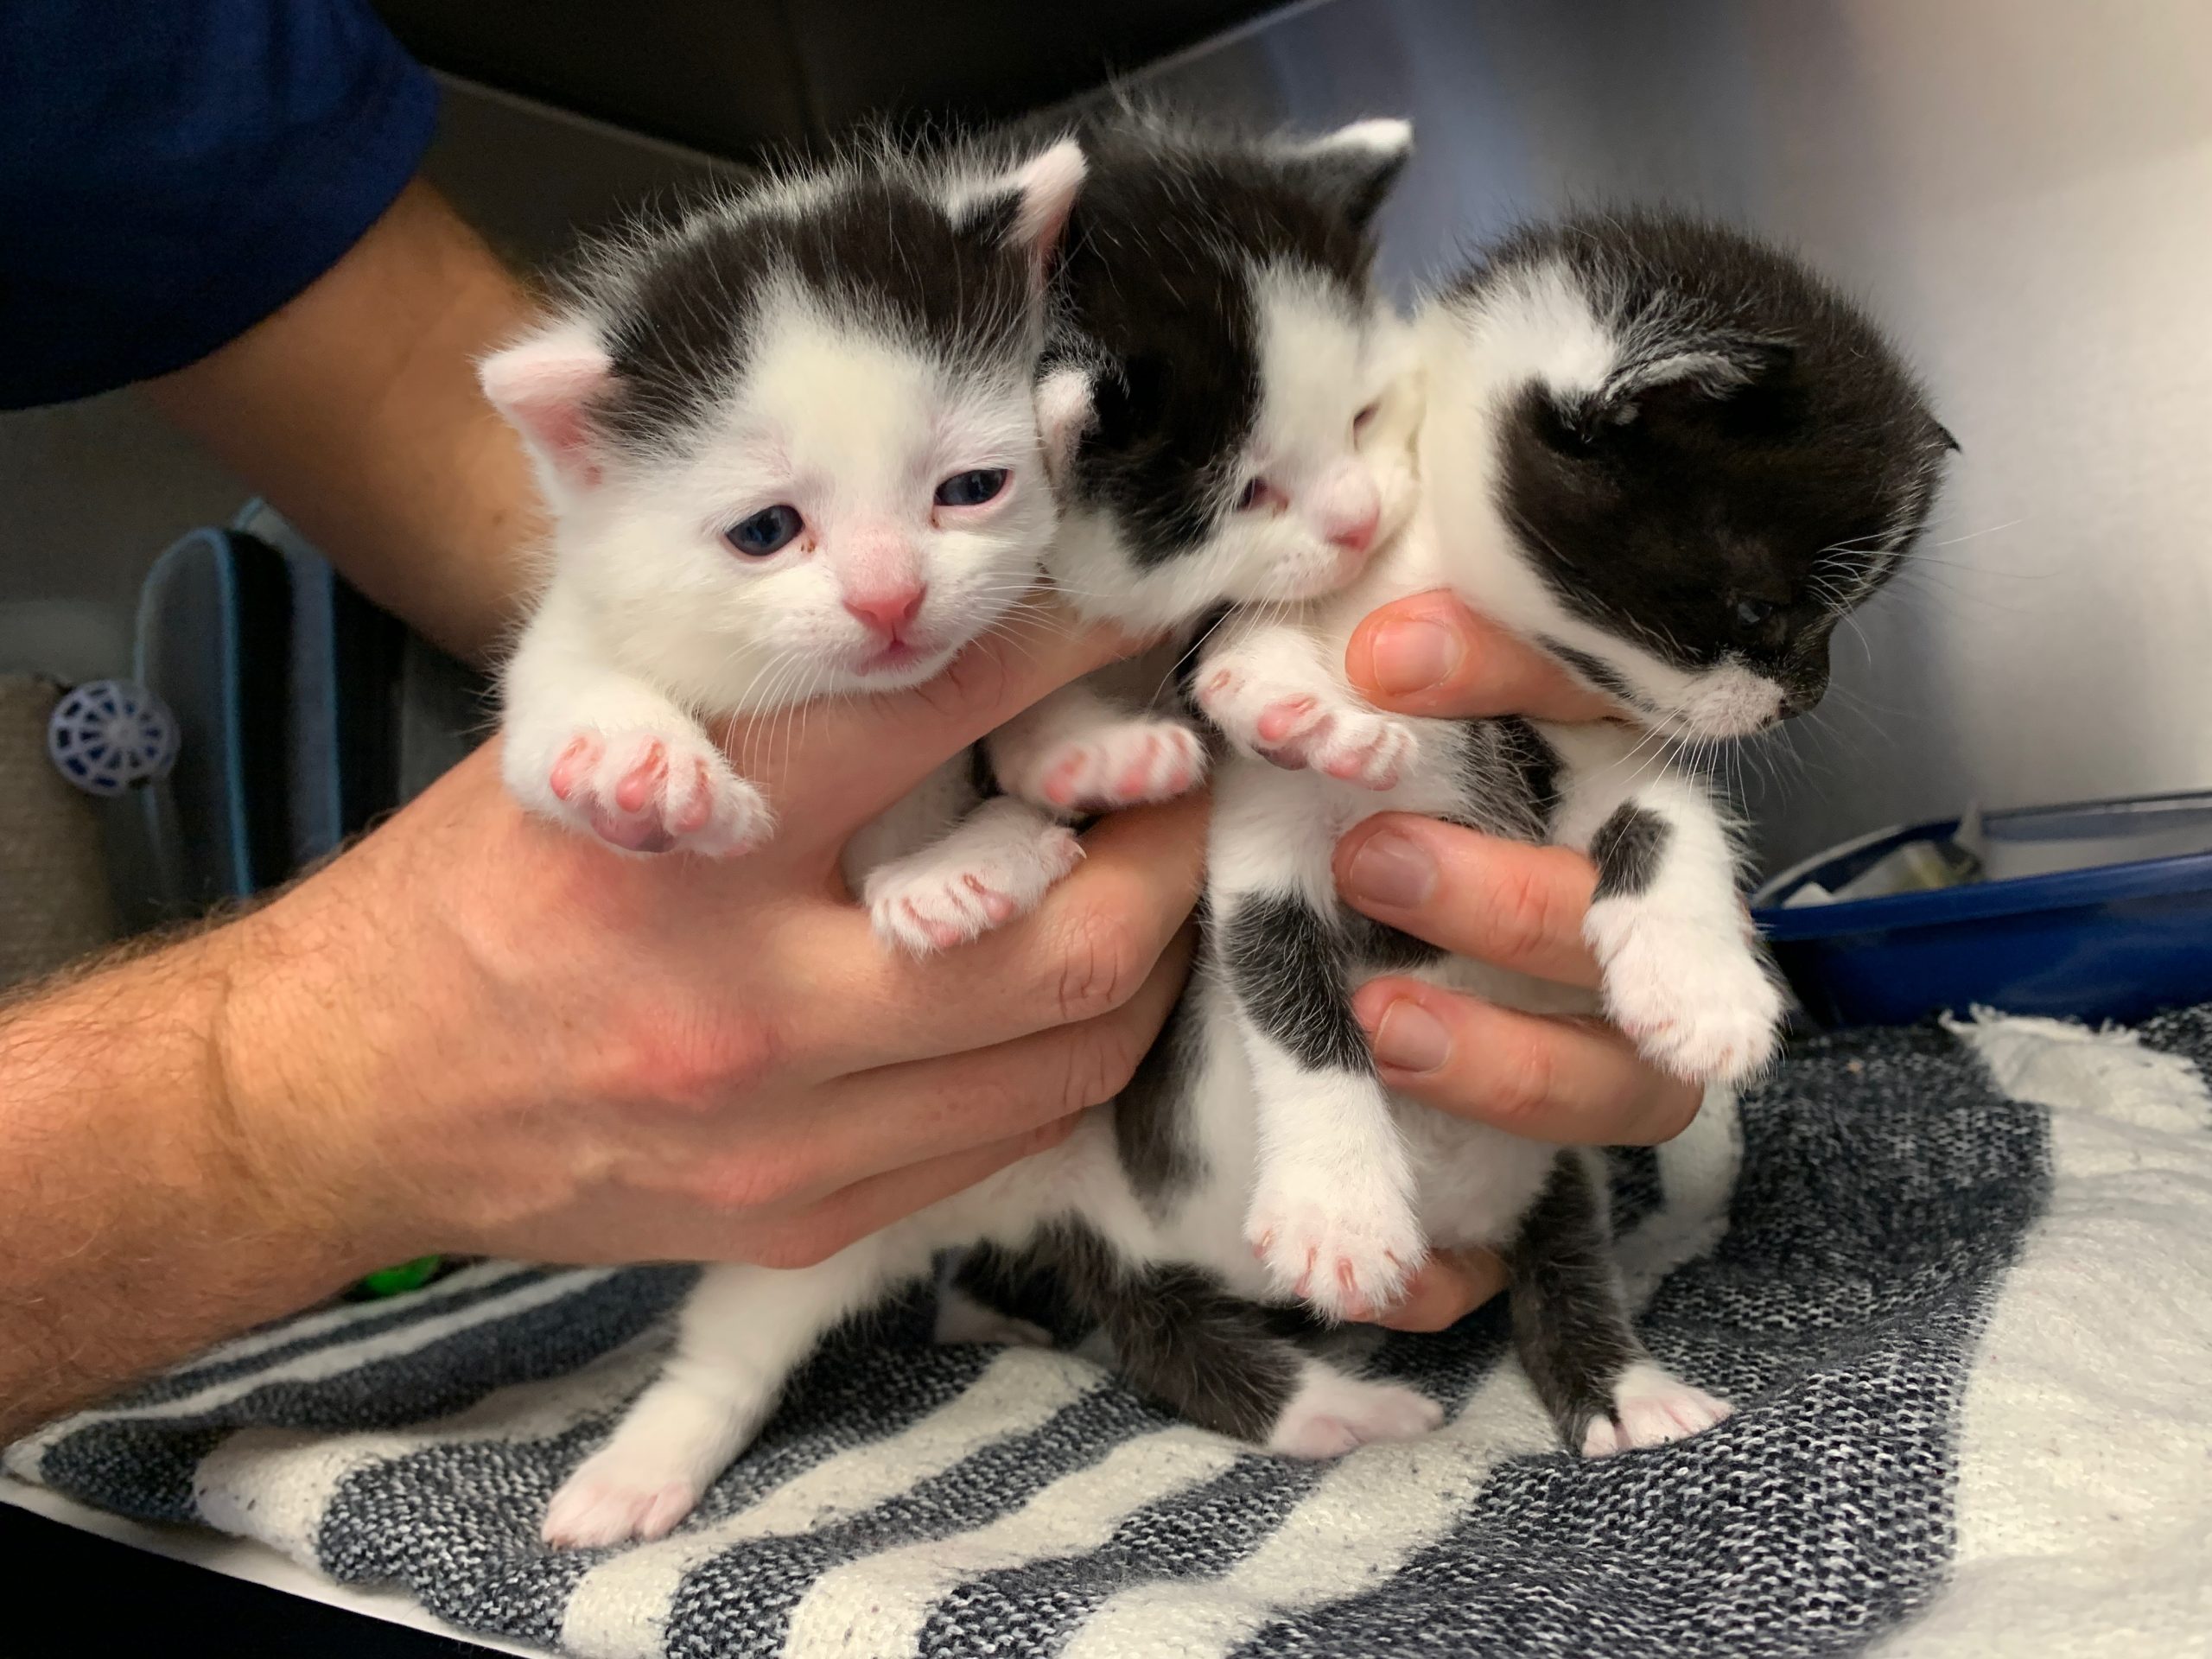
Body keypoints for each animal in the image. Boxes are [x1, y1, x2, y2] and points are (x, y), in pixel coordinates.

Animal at [495, 138, 1096, 862]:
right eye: (765, 530)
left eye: (973, 488)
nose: (889, 599)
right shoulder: (586, 606)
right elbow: (552, 674)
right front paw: (632, 760)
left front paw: (1080, 740)